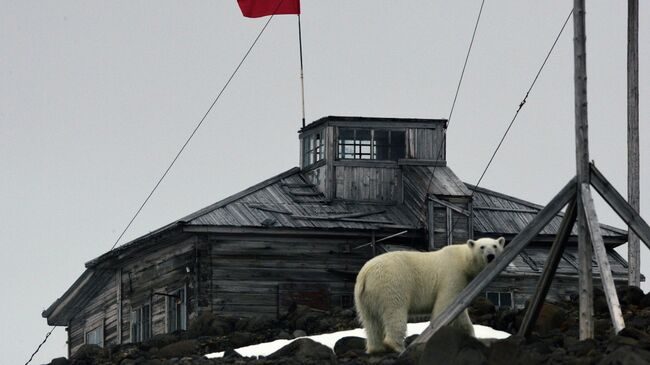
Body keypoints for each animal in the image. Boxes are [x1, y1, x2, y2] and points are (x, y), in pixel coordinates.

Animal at [352, 236, 504, 352]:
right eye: (482, 247)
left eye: (495, 246)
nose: (490, 256)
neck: (463, 260)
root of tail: (365, 274)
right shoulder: (453, 275)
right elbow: (445, 304)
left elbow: (461, 314)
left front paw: (471, 336)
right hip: (391, 284)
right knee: (395, 312)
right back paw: (396, 347)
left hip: (365, 297)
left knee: (370, 321)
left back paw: (375, 348)